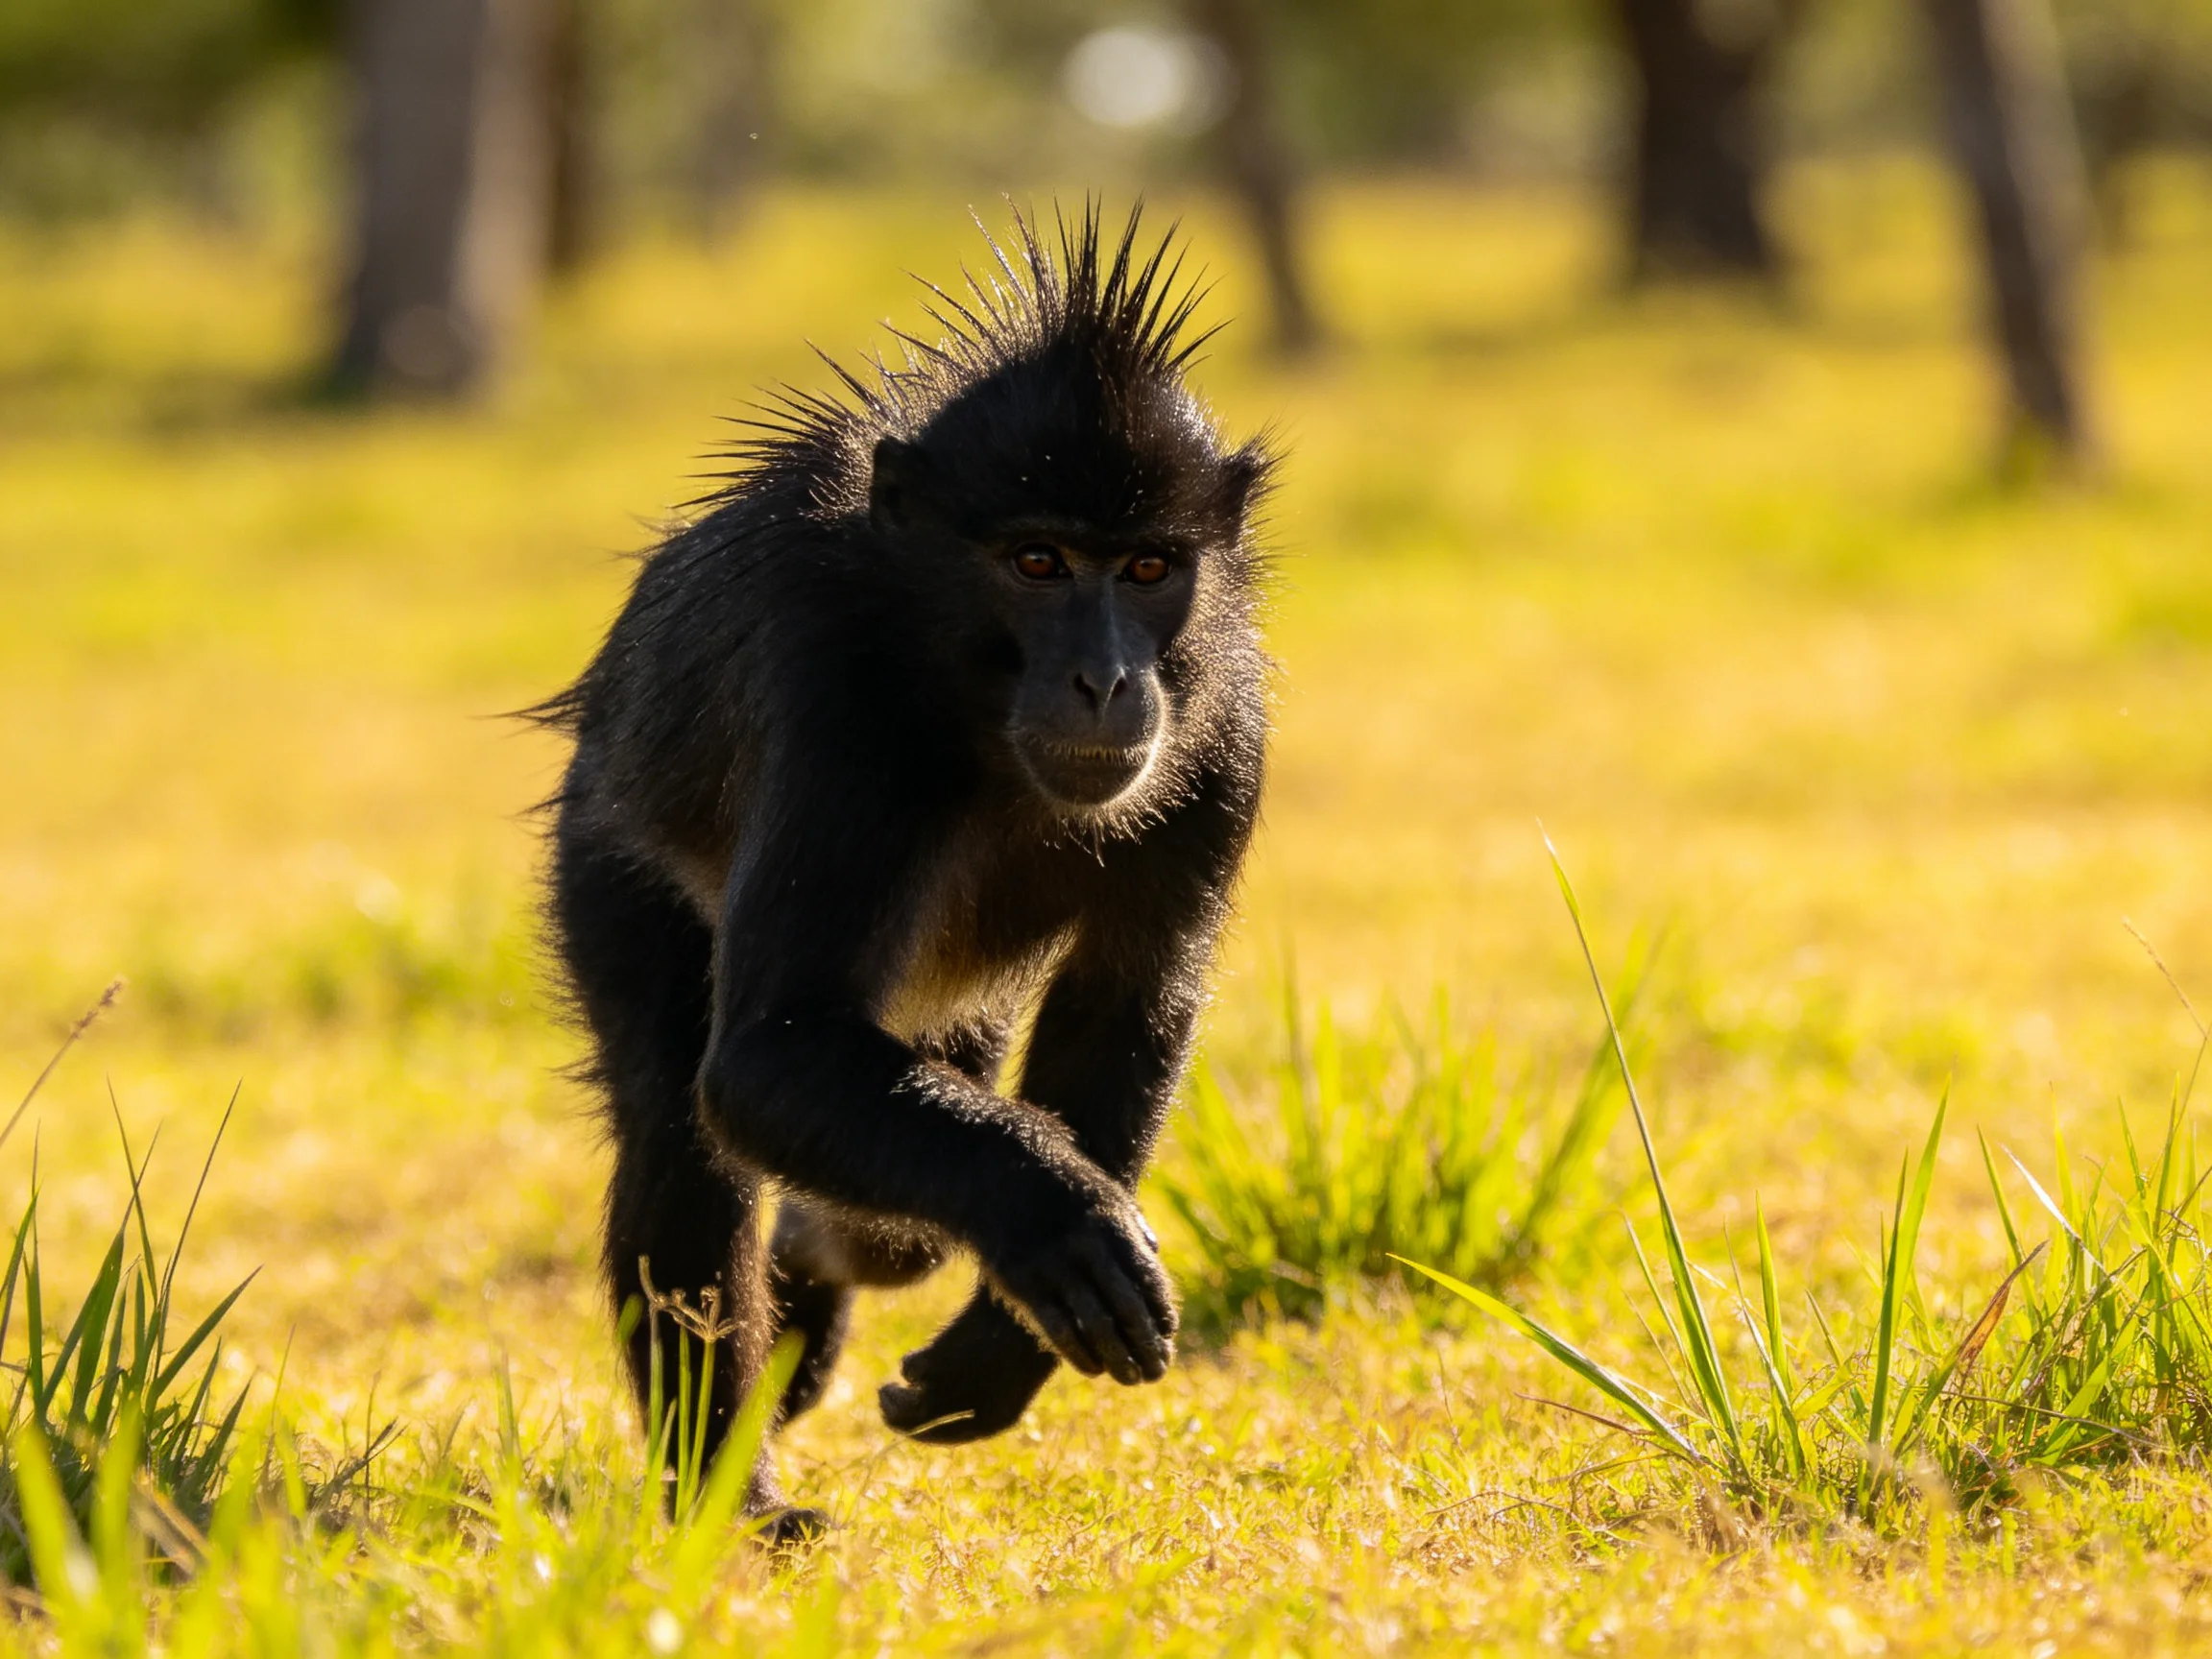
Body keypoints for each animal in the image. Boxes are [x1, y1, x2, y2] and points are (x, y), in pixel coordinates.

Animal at [535, 205, 1273, 1539]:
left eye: (1147, 569)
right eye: (1039, 563)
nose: (1105, 680)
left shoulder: (1224, 733)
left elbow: (1127, 1004)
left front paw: (1001, 1343)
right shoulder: (842, 710)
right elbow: (765, 1061)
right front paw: (1055, 1216)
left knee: (887, 1221)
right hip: (611, 856)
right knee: (686, 1132)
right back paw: (734, 1500)